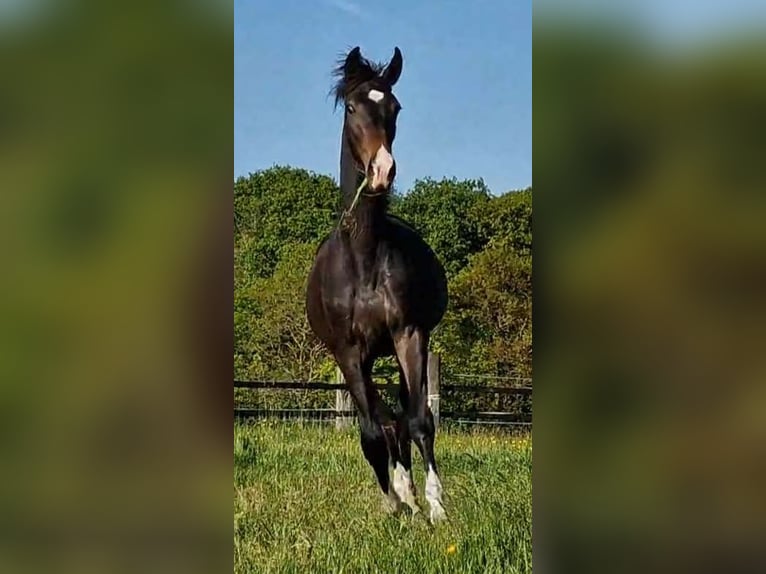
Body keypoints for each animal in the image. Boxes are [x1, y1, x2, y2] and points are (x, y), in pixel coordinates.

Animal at [306, 48, 450, 528]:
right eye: (352, 108)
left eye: (395, 107)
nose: (382, 171)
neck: (364, 258)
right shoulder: (348, 351)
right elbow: (371, 432)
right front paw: (394, 503)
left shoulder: (410, 334)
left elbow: (420, 420)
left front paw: (436, 506)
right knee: (385, 420)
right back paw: (401, 493)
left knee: (402, 417)